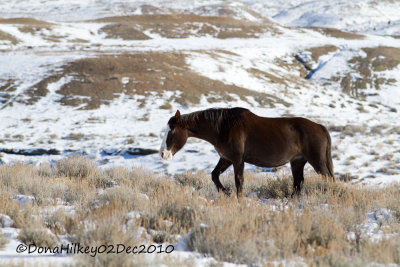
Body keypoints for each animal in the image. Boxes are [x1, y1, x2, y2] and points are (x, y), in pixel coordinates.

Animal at [159, 108, 334, 198]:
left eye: (172, 132)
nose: (163, 154)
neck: (223, 127)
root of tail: (320, 127)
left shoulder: (237, 160)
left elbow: (239, 181)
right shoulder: (226, 158)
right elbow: (214, 175)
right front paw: (227, 192)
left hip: (317, 161)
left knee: (328, 180)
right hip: (297, 162)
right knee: (298, 184)